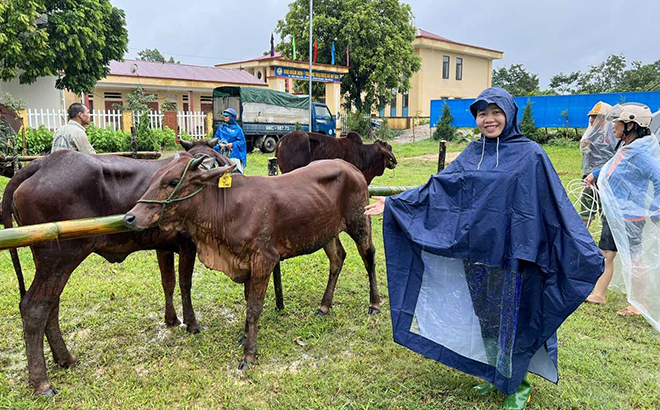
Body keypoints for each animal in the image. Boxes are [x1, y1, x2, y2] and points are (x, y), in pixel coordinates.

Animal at [2, 139, 228, 396]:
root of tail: (41, 163)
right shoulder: (188, 243)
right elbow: (184, 284)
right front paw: (192, 324)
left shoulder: (164, 246)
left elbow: (168, 282)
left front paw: (171, 319)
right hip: (60, 255)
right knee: (35, 307)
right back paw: (42, 382)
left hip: (50, 262)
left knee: (52, 304)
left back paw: (65, 359)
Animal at [125, 155, 382, 370]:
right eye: (153, 179)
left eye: (172, 182)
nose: (130, 217)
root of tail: (351, 167)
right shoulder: (244, 262)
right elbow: (248, 301)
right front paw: (245, 336)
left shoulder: (264, 260)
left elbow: (254, 309)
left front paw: (249, 354)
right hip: (325, 232)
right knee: (337, 258)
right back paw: (324, 306)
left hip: (360, 221)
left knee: (369, 256)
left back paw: (375, 303)